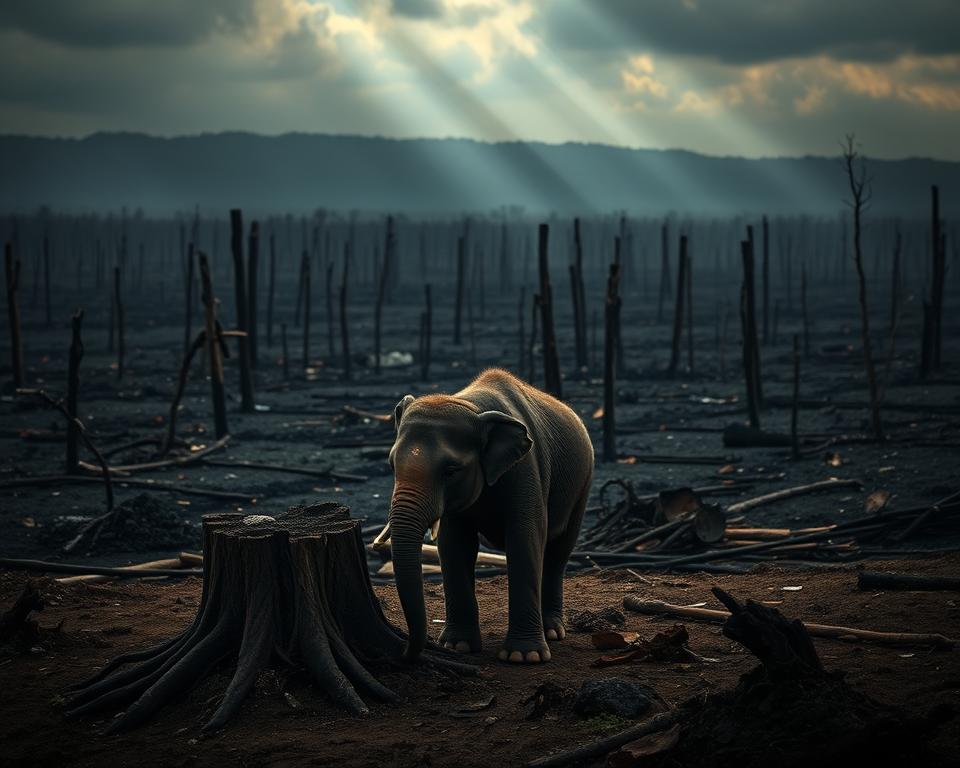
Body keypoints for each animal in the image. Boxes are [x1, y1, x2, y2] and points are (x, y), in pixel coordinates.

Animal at [387, 368, 594, 664]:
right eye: (392, 465)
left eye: (451, 471)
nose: (404, 653)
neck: (473, 407)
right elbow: (454, 546)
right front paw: (457, 646)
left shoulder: (526, 470)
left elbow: (524, 539)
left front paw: (524, 656)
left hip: (583, 486)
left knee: (558, 552)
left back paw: (553, 632)